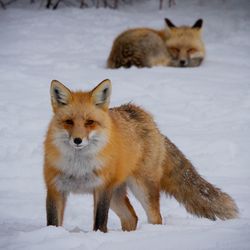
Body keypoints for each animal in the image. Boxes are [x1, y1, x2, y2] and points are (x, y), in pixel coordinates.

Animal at [44, 79, 238, 231]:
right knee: (132, 217)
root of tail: (150, 121)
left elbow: (100, 223)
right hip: (117, 195)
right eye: (69, 122)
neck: (78, 167)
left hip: (142, 188)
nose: (77, 140)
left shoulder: (102, 188)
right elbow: (53, 223)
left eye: (89, 122)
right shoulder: (55, 188)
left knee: (155, 218)